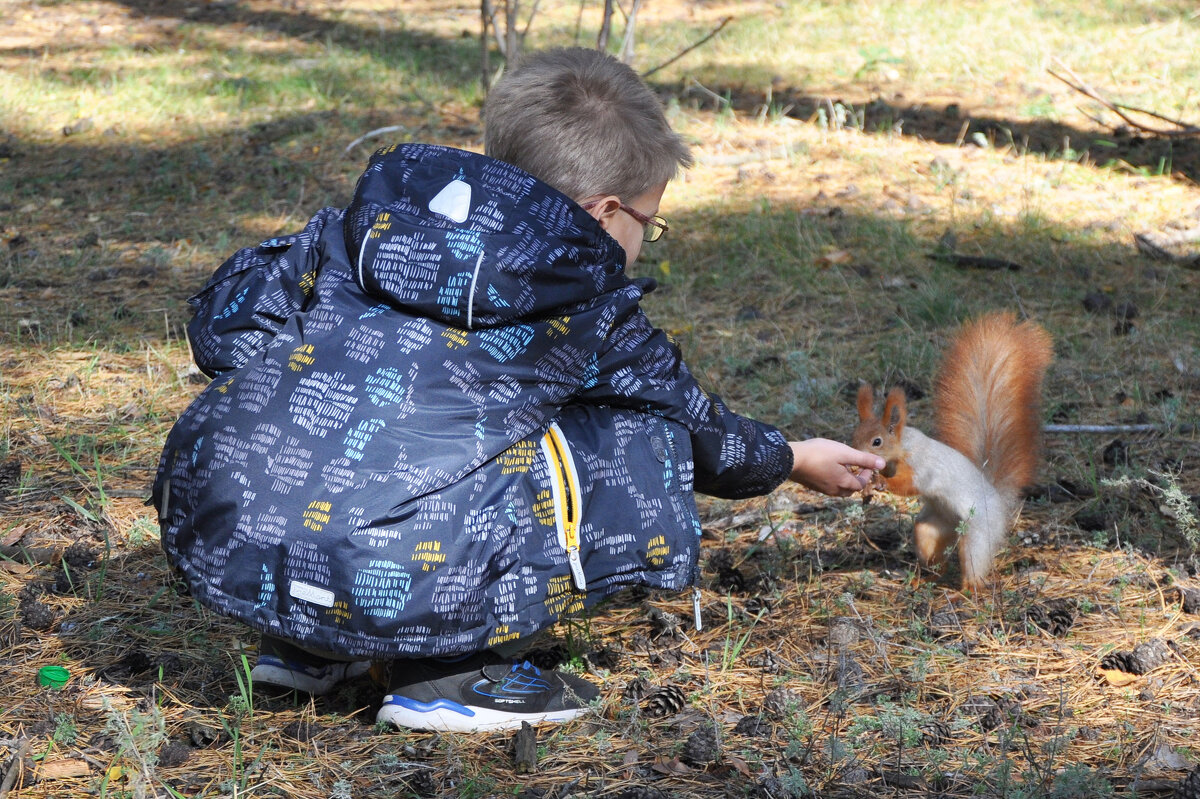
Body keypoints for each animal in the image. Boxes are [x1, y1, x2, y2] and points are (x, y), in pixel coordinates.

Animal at [854, 309, 1051, 585]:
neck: (904, 447)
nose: (855, 454)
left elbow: (910, 484)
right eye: (854, 434)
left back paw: (967, 589)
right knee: (932, 549)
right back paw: (929, 578)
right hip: (934, 526)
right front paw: (868, 487)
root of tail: (998, 500)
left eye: (877, 442)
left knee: (973, 562)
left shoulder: (923, 465)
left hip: (977, 535)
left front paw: (880, 483)